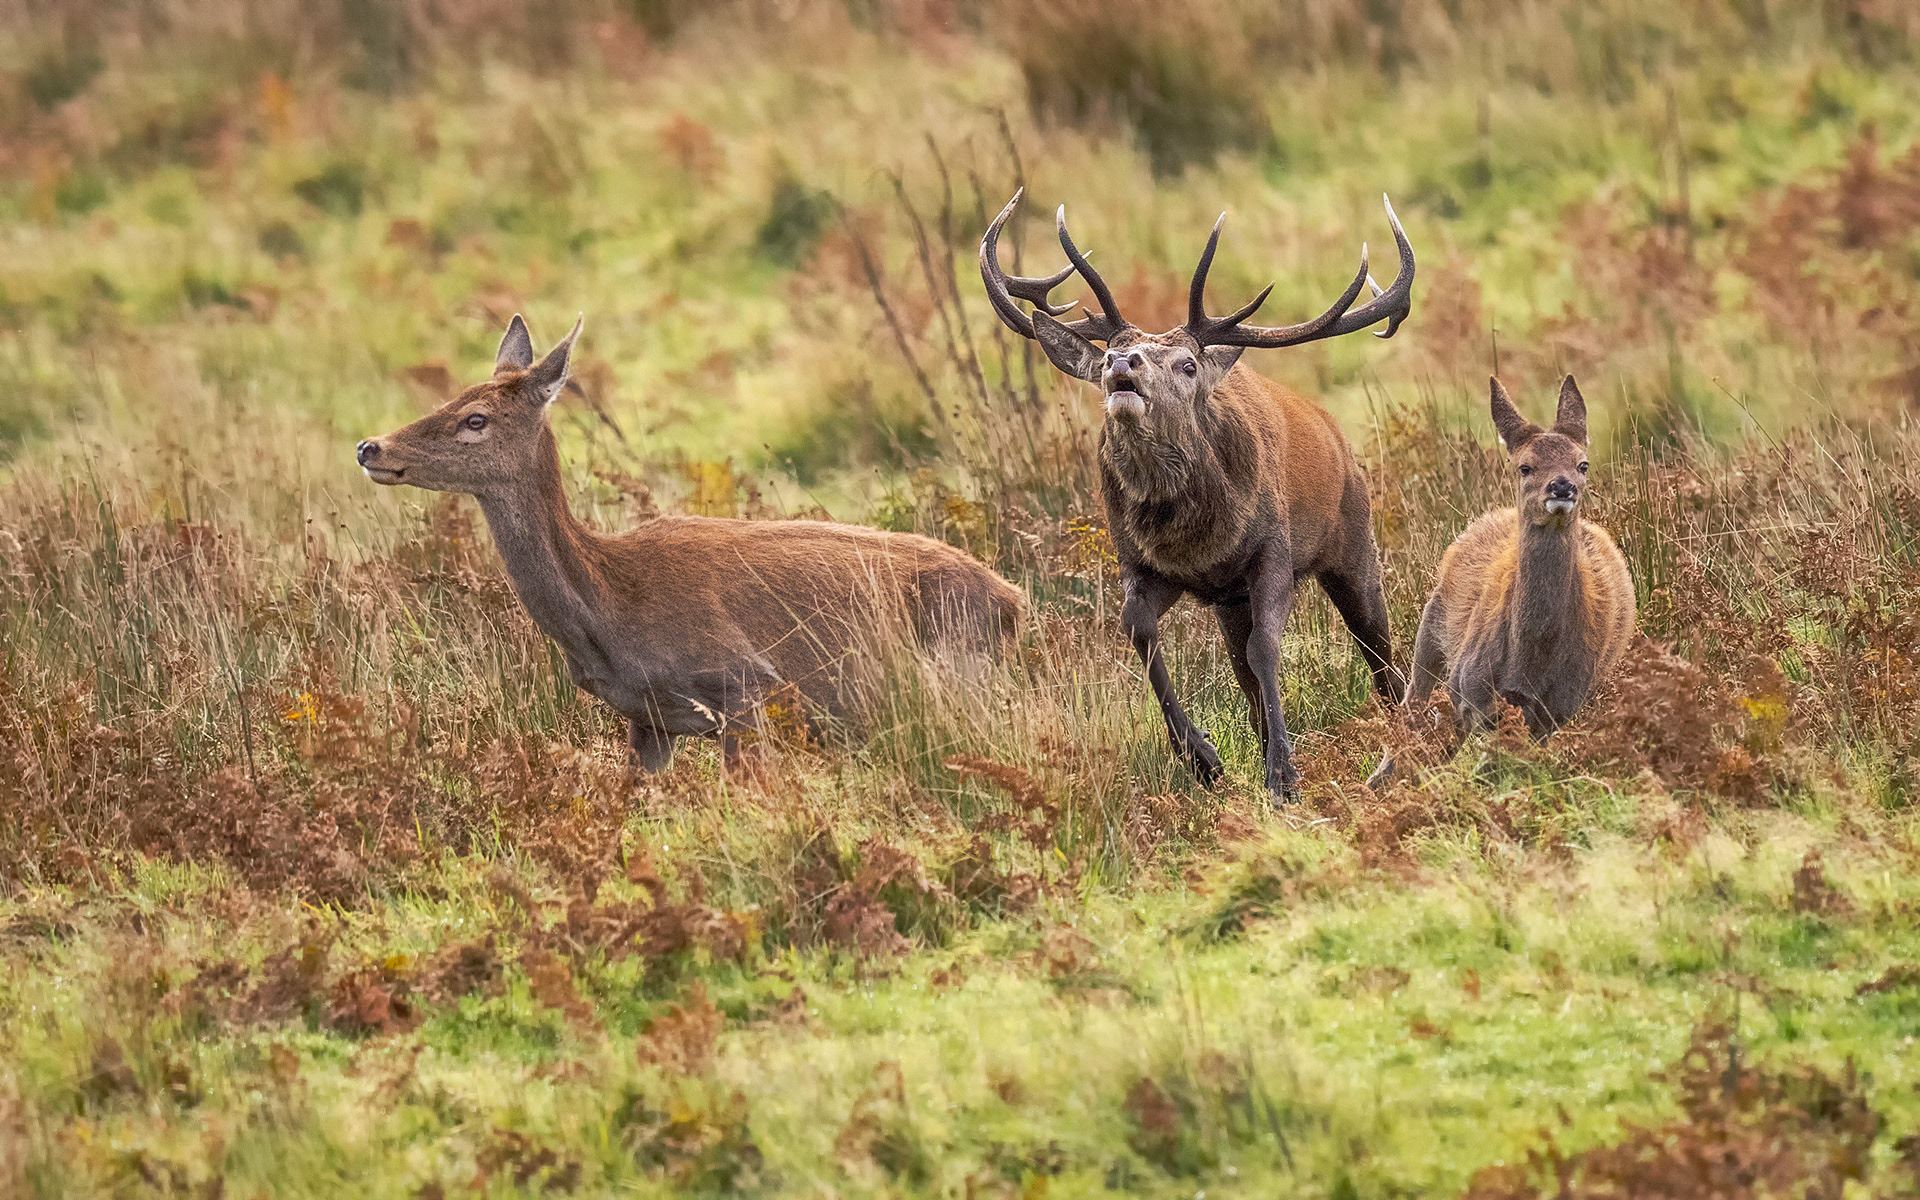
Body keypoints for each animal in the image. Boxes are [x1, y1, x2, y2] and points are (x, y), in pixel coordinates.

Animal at [356, 314, 1023, 770]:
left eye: (476, 419)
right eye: (453, 397)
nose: (370, 446)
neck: (610, 610)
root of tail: (1015, 601)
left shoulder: (744, 684)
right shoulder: (646, 721)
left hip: (959, 675)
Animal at [980, 190, 1414, 800]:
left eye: (1187, 364)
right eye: (1109, 353)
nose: (1123, 361)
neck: (1198, 541)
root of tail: (1336, 434)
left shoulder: (1272, 553)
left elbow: (1267, 648)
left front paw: (1283, 775)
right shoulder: (1143, 564)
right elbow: (1138, 630)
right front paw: (1204, 759)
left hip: (1354, 544)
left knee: (1377, 650)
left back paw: (1400, 731)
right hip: (1232, 603)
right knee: (1247, 675)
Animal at [1365, 375, 1636, 789]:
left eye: (1583, 464)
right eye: (1525, 466)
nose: (1562, 487)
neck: (1528, 667)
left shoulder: (1558, 710)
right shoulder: (1469, 692)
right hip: (1431, 627)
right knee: (1413, 707)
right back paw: (1378, 780)